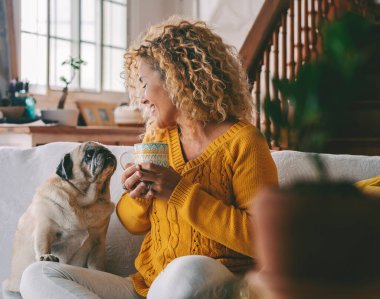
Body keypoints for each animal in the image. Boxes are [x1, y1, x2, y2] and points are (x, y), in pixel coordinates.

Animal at [3, 142, 116, 294]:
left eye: (106, 148)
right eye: (88, 154)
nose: (106, 152)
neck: (86, 203)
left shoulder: (98, 242)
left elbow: (97, 264)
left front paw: (100, 272)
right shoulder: (45, 227)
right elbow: (43, 244)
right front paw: (46, 256)